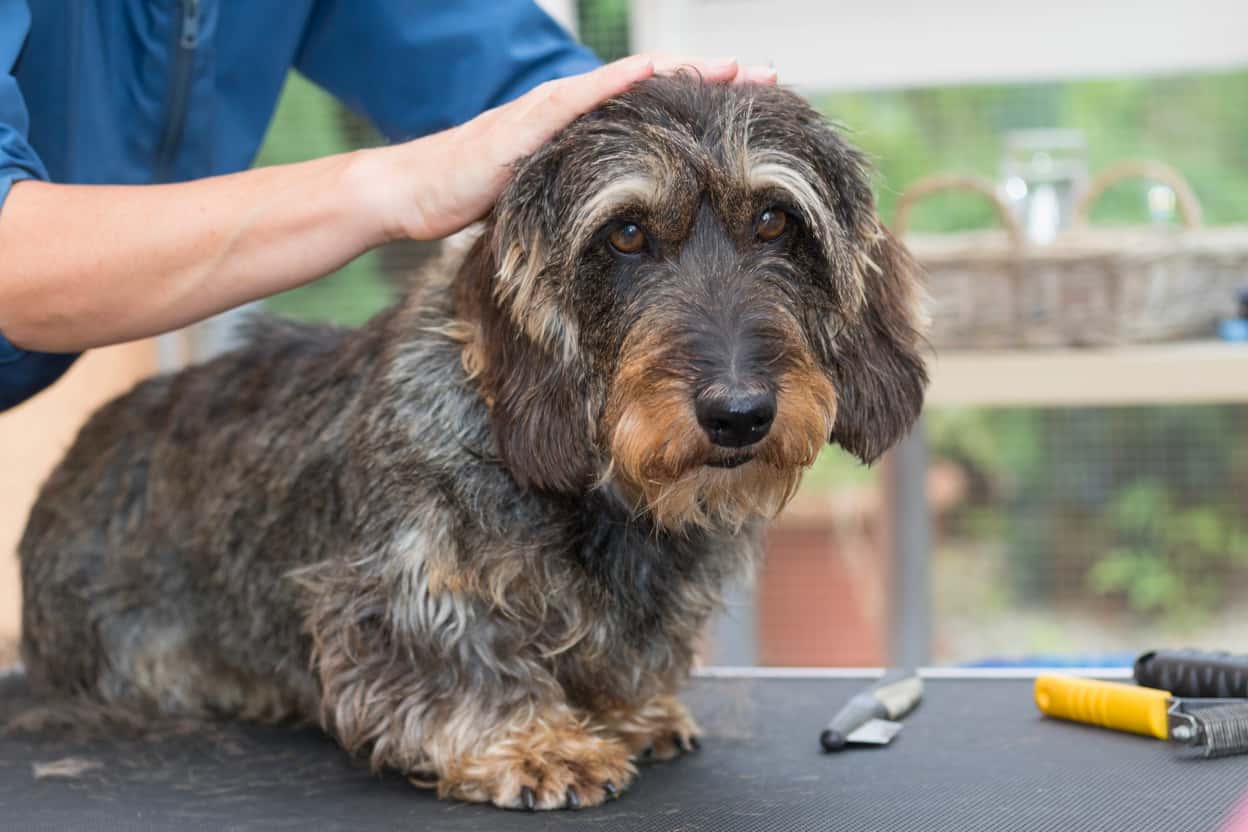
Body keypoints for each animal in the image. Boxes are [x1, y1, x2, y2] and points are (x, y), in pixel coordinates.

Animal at [17, 73, 928, 813]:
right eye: (627, 235)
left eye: (775, 220)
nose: (740, 414)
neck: (600, 497)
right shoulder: (395, 586)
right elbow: (456, 654)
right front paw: (532, 742)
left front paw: (627, 710)